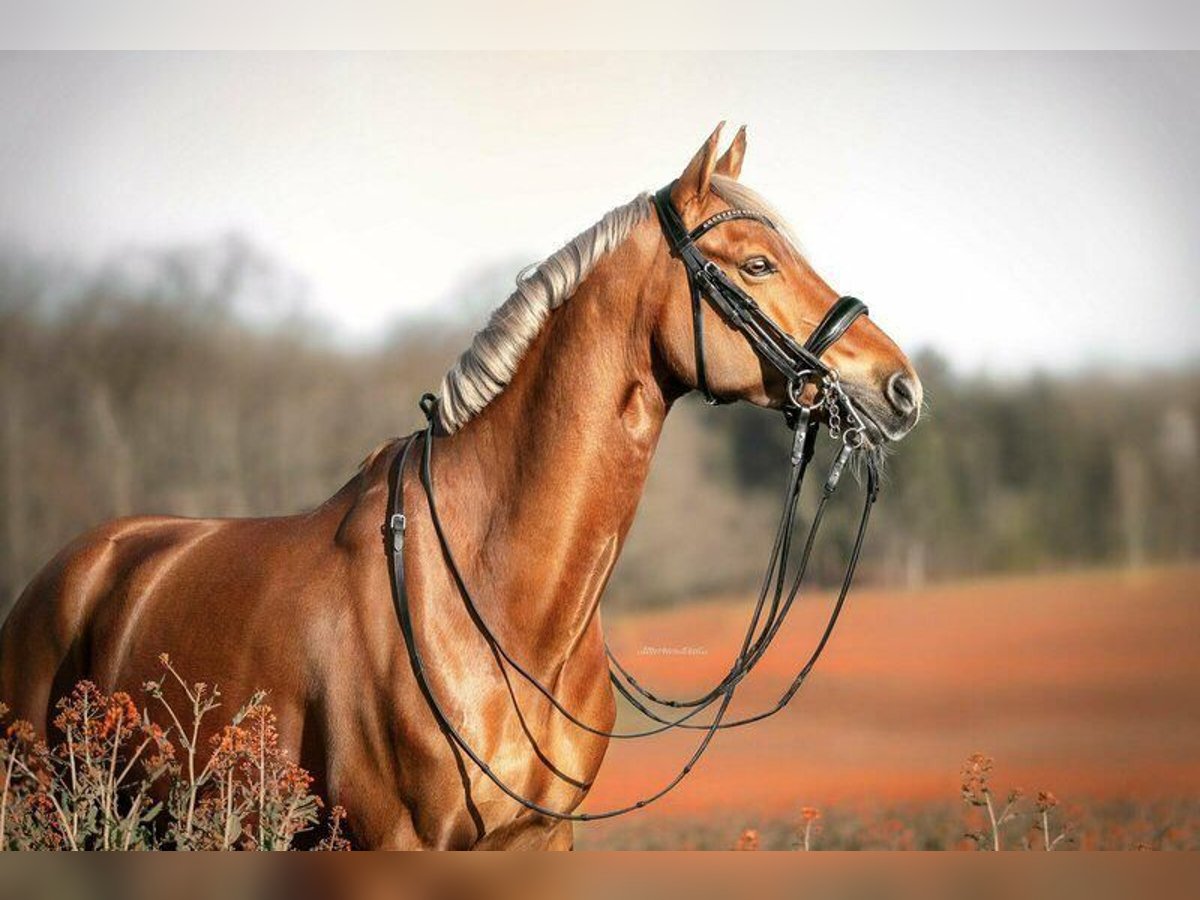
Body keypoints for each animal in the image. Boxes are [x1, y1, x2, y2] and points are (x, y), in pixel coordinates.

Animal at [0, 127, 926, 854]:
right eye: (759, 264)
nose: (900, 388)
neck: (504, 606)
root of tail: (69, 571)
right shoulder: (396, 841)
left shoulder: (540, 840)